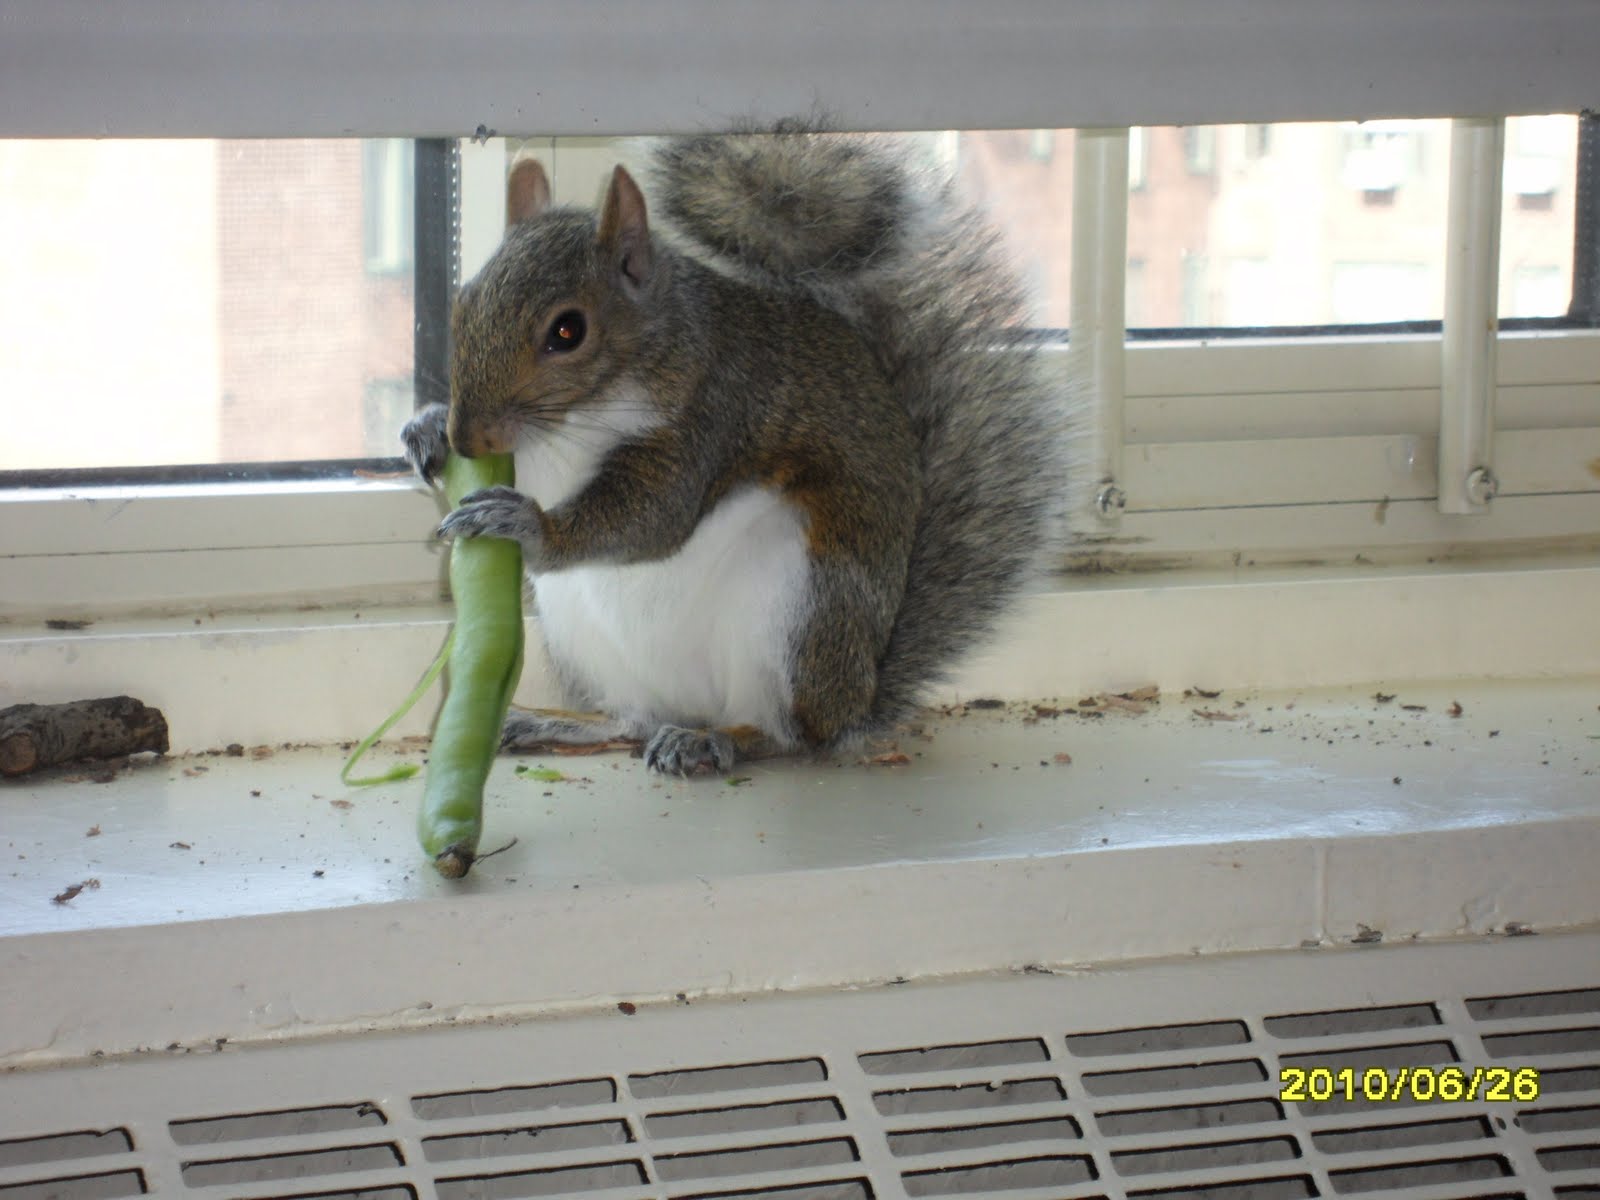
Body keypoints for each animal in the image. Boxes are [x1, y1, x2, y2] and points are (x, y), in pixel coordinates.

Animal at [402, 121, 1066, 774]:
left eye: (568, 331)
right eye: (465, 299)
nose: (470, 436)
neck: (581, 416)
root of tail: (856, 699)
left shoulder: (715, 417)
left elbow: (653, 518)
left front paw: (526, 524)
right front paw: (427, 431)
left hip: (796, 609)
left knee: (789, 735)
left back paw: (714, 741)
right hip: (582, 635)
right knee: (632, 719)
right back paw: (555, 724)